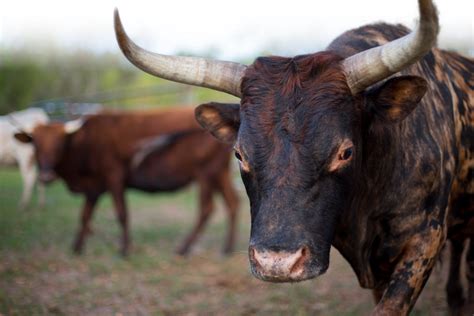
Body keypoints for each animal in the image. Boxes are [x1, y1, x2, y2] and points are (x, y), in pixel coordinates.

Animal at [13, 108, 241, 256]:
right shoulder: (94, 186)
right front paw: (76, 247)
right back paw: (227, 248)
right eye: (35, 145)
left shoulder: (114, 177)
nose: (46, 176)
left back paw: (184, 248)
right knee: (232, 202)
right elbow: (85, 215)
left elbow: (121, 214)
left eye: (60, 144)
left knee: (207, 209)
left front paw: (124, 249)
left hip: (206, 174)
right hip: (220, 174)